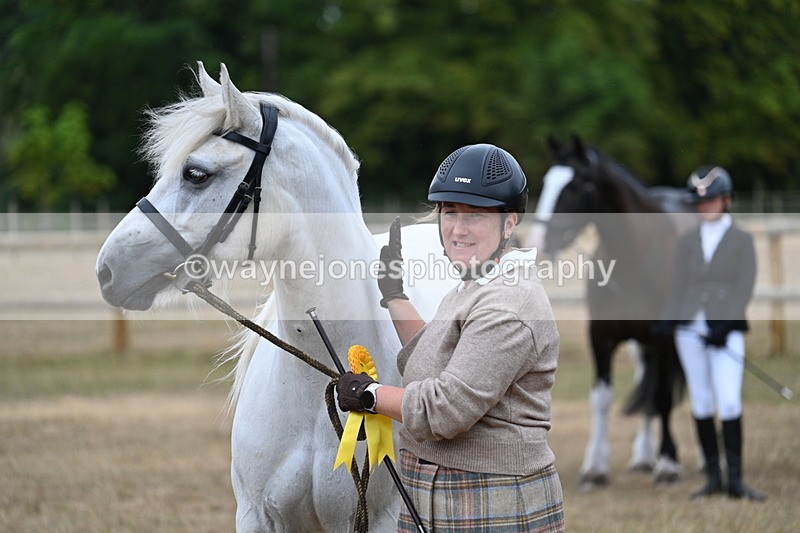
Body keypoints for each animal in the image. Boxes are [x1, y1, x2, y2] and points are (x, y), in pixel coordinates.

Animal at [527, 136, 692, 489]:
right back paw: (643, 456)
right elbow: (602, 399)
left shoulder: (665, 338)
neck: (635, 257)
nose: (538, 244)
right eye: (546, 182)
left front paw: (668, 464)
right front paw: (595, 468)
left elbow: (663, 397)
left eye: (574, 186)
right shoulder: (600, 337)